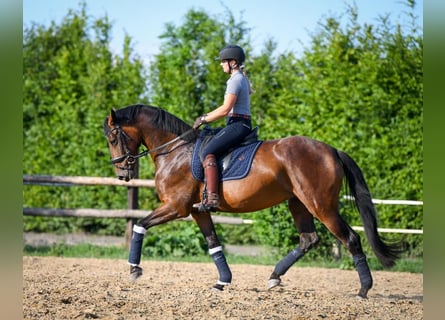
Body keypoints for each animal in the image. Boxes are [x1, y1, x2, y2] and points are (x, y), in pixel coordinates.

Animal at [103, 104, 398, 298]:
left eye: (113, 137)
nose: (122, 174)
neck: (175, 151)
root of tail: (331, 150)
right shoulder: (199, 211)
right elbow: (213, 243)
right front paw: (223, 281)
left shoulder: (176, 207)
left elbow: (140, 224)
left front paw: (134, 268)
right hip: (298, 203)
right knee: (308, 239)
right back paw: (274, 277)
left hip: (321, 205)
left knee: (350, 239)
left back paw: (363, 289)